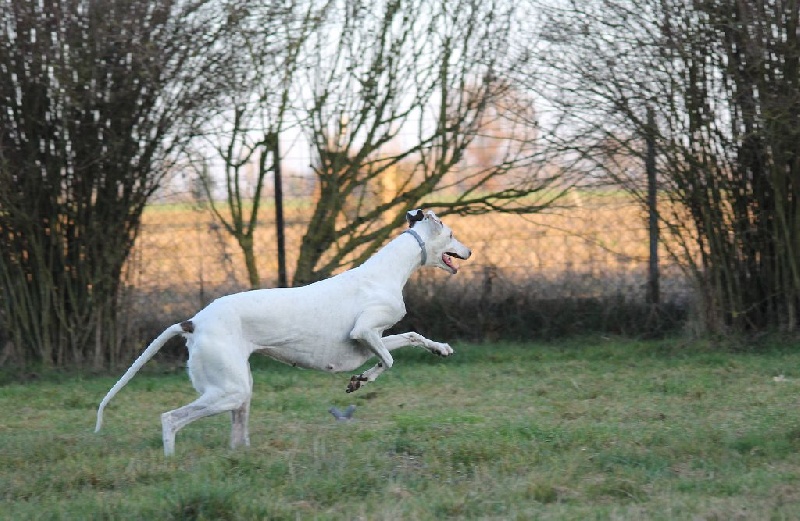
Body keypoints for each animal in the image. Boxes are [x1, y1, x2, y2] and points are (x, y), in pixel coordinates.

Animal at [95, 209, 471, 455]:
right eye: (452, 234)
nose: (470, 251)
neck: (387, 270)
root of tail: (194, 321)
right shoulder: (365, 332)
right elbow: (389, 360)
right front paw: (359, 381)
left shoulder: (371, 340)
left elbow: (411, 338)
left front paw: (440, 348)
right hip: (227, 391)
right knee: (171, 419)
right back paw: (171, 458)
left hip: (240, 391)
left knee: (236, 434)